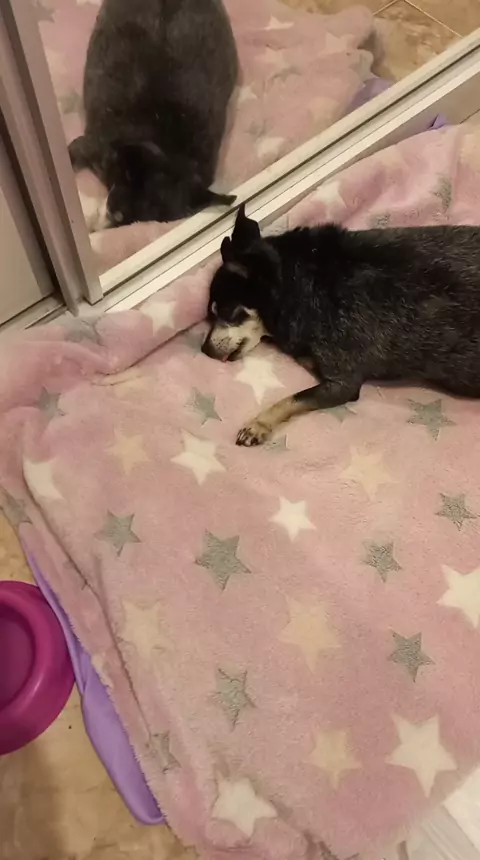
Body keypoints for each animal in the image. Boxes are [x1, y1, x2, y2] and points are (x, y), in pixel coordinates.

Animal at [202, 204, 480, 446]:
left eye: (224, 311)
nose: (204, 349)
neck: (299, 283)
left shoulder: (343, 382)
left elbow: (291, 399)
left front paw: (258, 425)